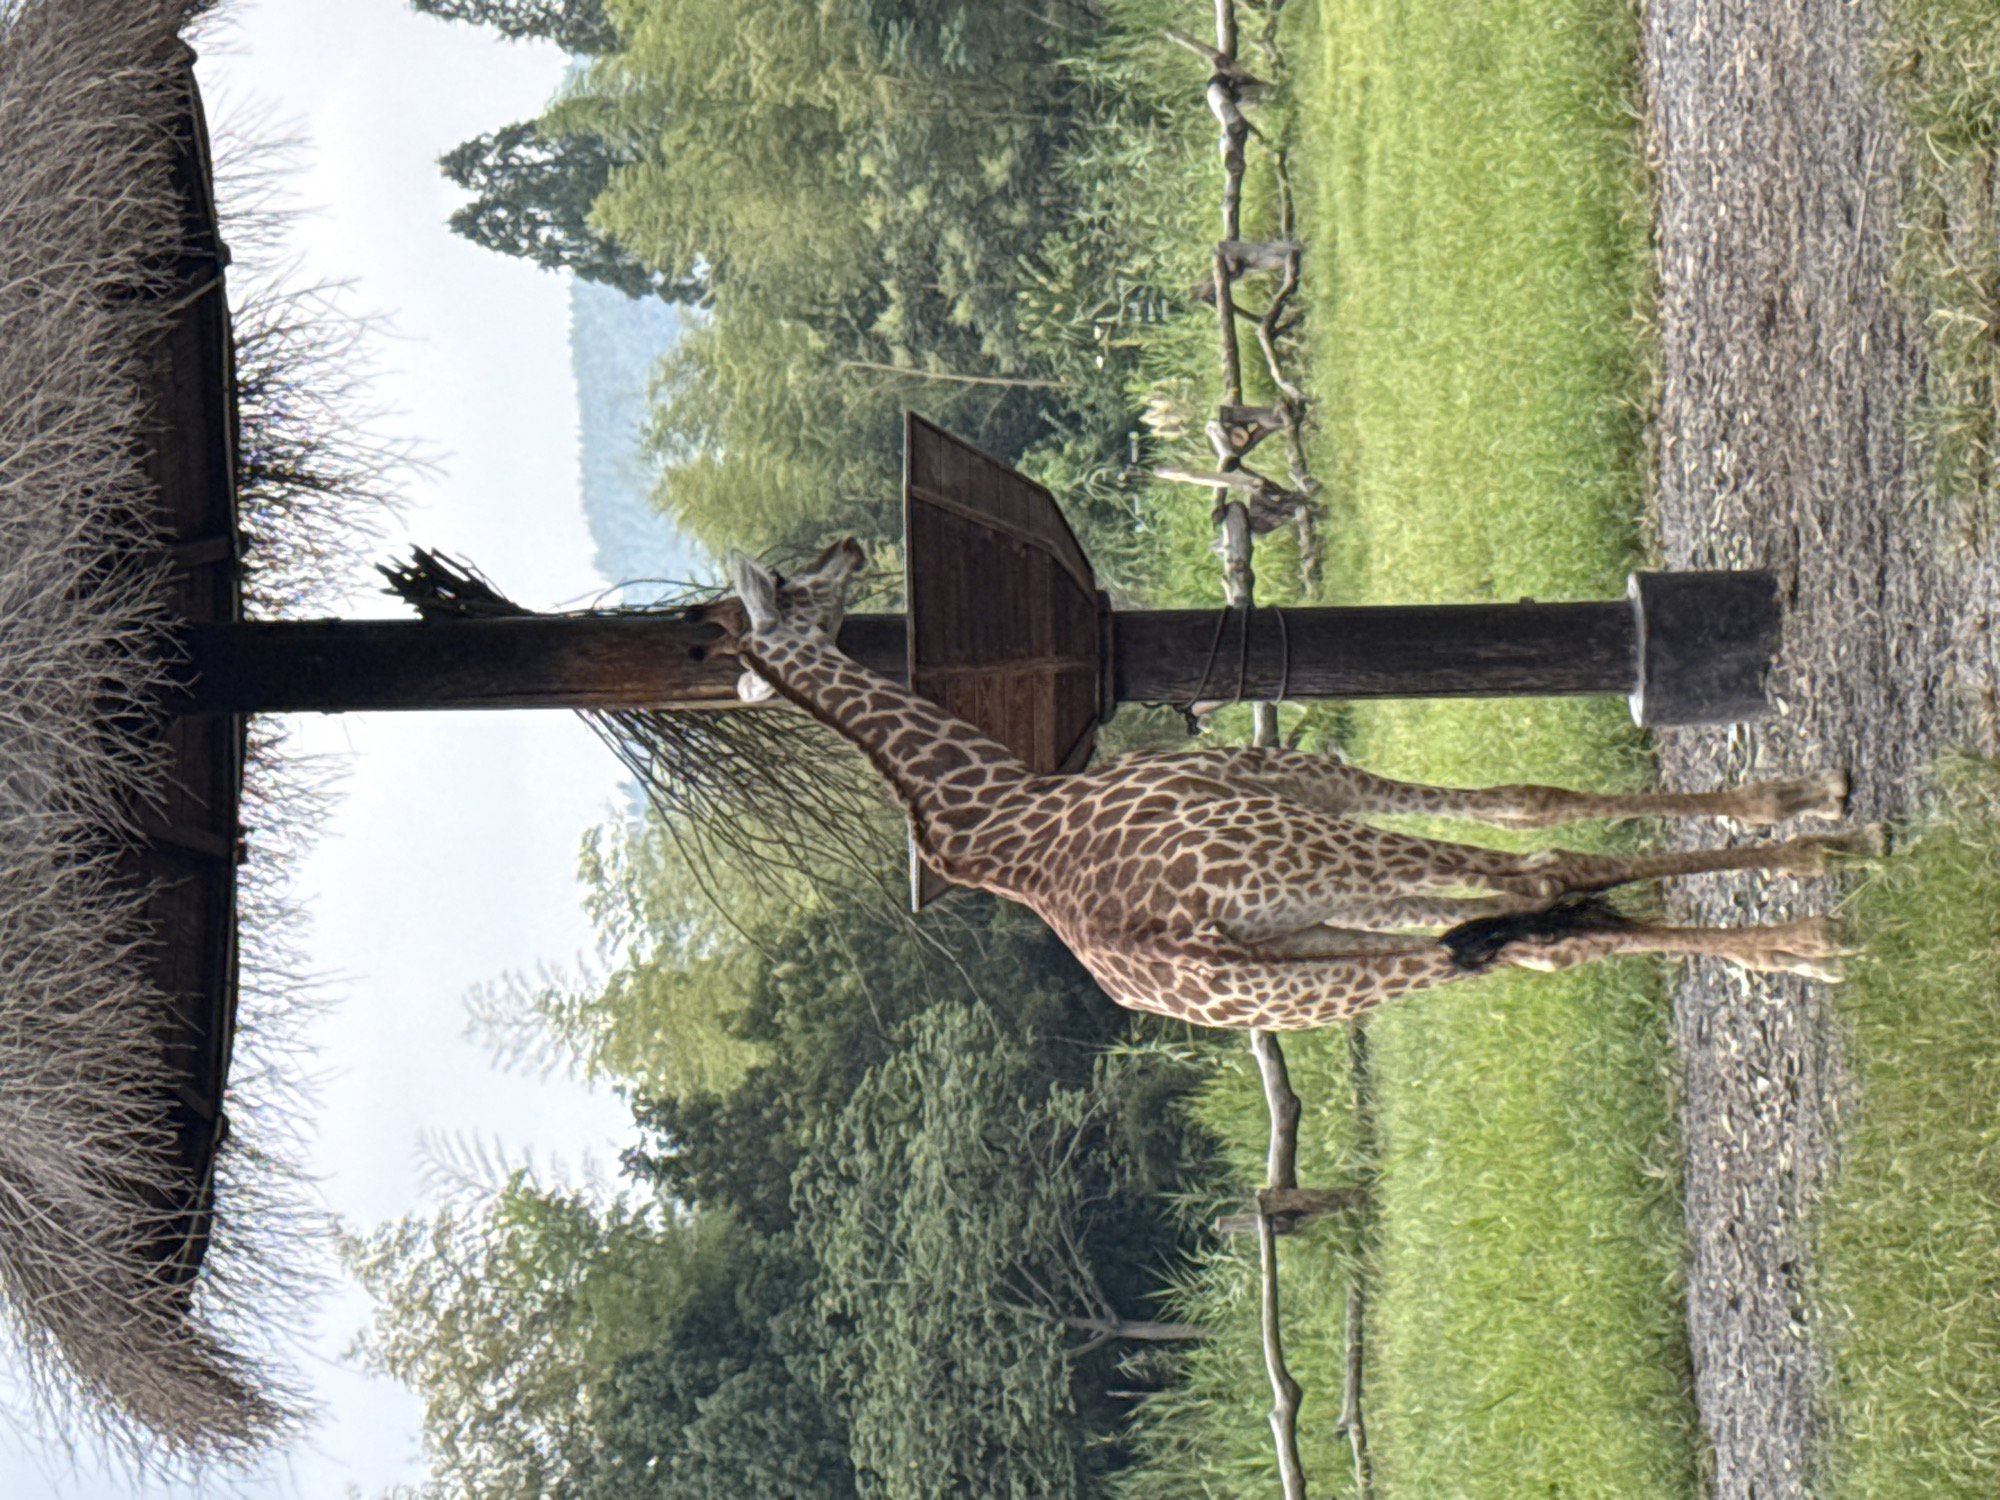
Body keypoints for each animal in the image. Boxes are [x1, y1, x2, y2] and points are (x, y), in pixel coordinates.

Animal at [725, 540, 1873, 1030]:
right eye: (797, 582)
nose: (850, 544)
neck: (990, 803)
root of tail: (1179, 949)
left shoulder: (1325, 894)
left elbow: (1520, 854)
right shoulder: (1296, 780)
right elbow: (1534, 828)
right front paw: (1805, 806)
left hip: (1308, 975)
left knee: (1506, 942)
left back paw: (1786, 931)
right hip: (1319, 876)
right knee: (1539, 887)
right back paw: (1813, 916)